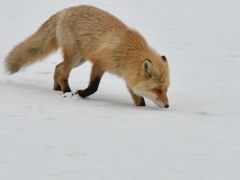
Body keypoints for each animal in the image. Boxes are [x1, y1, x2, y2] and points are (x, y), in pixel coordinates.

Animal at [3, 4, 170, 108]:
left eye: (166, 89)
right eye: (157, 90)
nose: (167, 106)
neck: (128, 53)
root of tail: (67, 9)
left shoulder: (128, 76)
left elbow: (139, 100)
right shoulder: (99, 62)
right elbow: (94, 86)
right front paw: (82, 94)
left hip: (79, 59)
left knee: (58, 67)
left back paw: (57, 89)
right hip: (75, 55)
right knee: (63, 74)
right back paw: (67, 92)